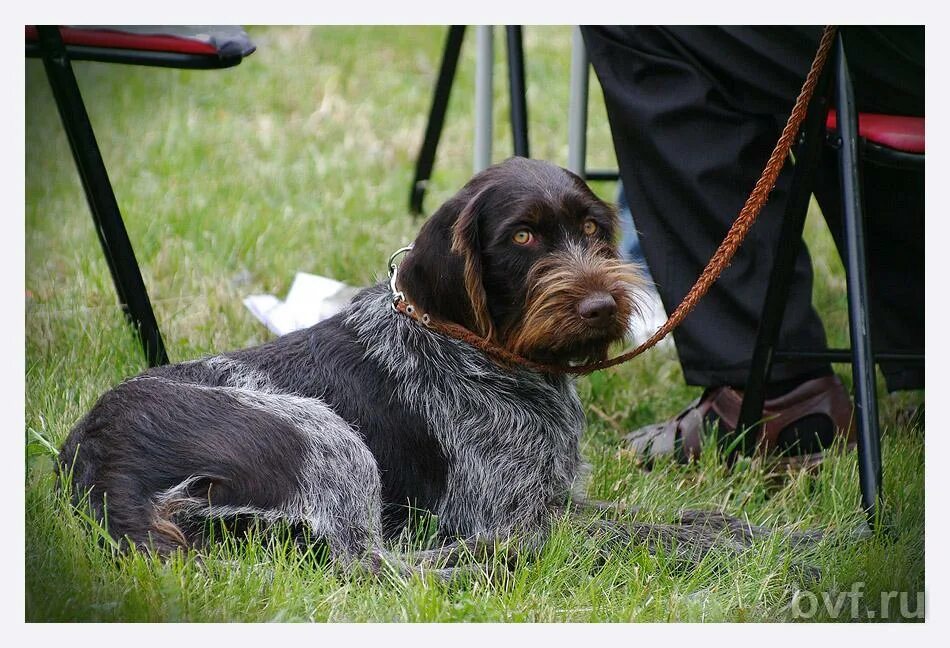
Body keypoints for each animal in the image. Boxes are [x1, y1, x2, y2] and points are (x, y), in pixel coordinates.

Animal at [57, 159, 804, 576]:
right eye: (522, 236)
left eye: (593, 229)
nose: (600, 305)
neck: (484, 354)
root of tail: (98, 461)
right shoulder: (512, 511)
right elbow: (642, 531)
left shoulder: (553, 497)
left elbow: (690, 517)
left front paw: (795, 535)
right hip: (323, 438)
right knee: (372, 568)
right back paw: (494, 564)